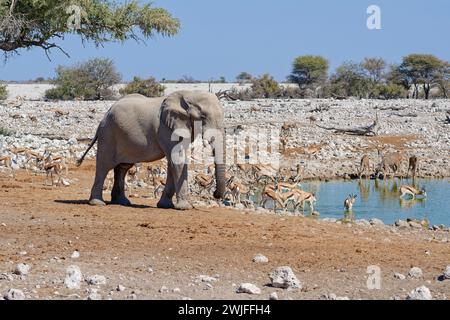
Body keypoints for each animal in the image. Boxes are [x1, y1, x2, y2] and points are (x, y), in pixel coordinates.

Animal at [76, 90, 229, 210]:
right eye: (202, 117)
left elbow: (173, 162)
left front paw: (165, 206)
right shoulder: (167, 128)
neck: (189, 95)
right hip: (108, 135)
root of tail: (104, 117)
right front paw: (185, 207)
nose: (215, 194)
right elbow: (177, 159)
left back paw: (122, 202)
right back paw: (97, 203)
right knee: (104, 165)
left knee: (123, 167)